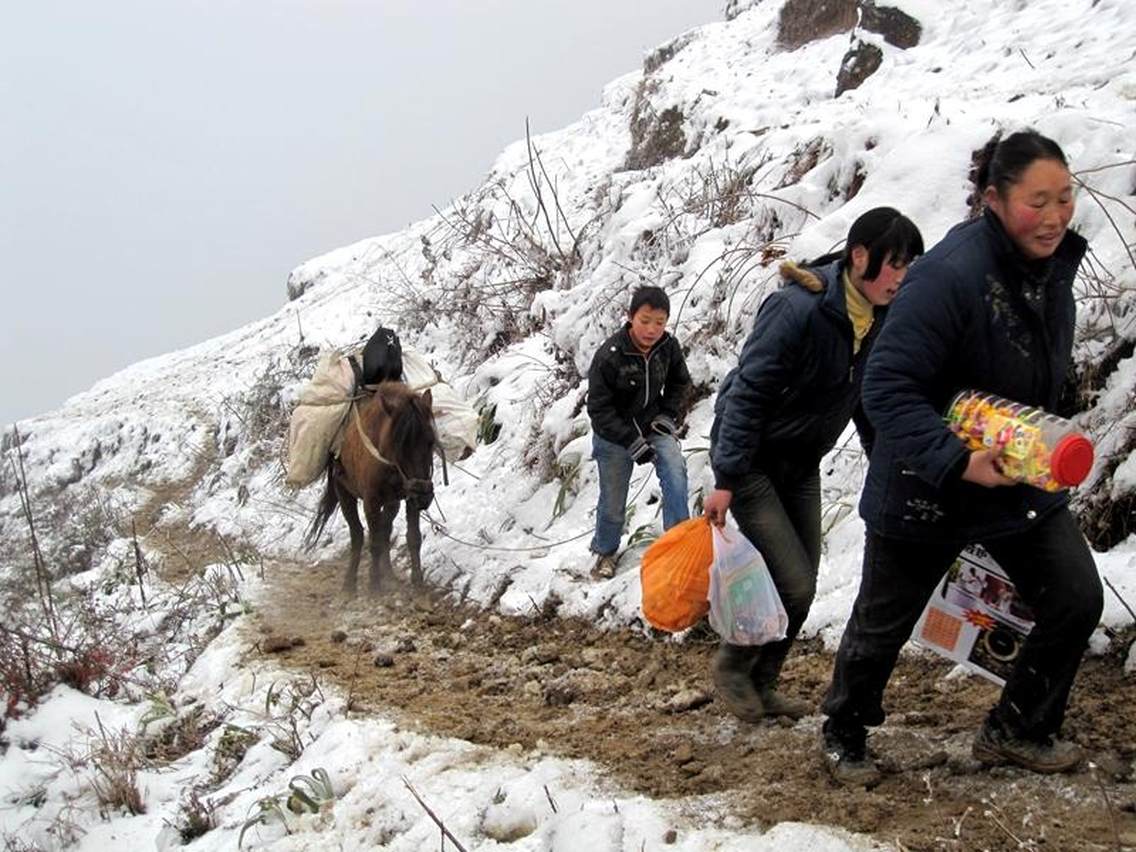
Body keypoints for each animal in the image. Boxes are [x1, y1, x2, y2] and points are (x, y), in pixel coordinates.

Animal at [304, 383, 436, 595]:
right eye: (400, 445)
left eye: (431, 441)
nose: (424, 494)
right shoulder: (371, 502)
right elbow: (373, 542)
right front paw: (374, 586)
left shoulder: (408, 498)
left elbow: (413, 538)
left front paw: (418, 583)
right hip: (344, 492)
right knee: (357, 534)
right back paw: (349, 585)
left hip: (392, 501)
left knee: (385, 529)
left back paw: (388, 574)